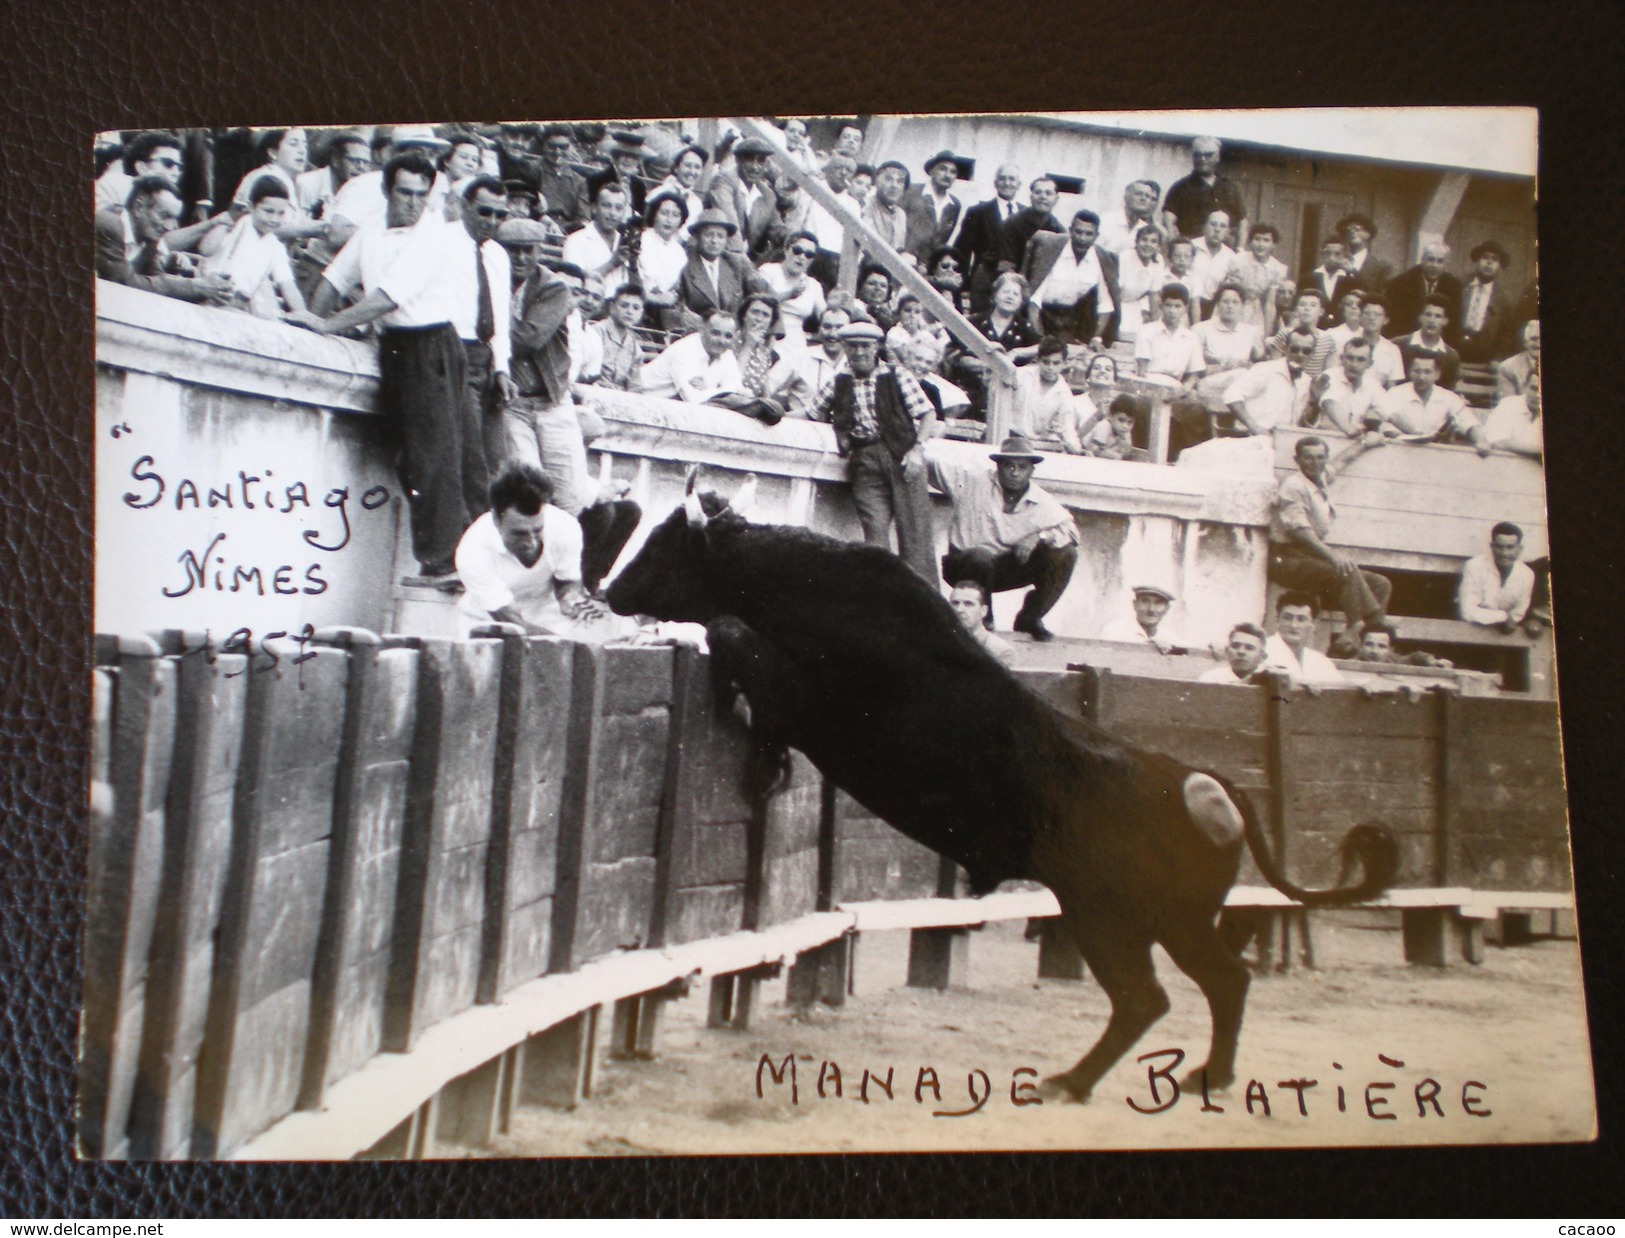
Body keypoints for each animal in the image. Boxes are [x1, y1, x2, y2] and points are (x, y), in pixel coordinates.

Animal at [604, 474, 1391, 1098]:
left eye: (664, 547)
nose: (610, 589)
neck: (800, 587)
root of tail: (1203, 783)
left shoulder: (800, 695)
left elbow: (730, 632)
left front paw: (760, 756)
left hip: (1111, 915)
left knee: (1148, 999)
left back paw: (1072, 1082)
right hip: (1170, 919)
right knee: (1222, 983)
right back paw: (1204, 1076)